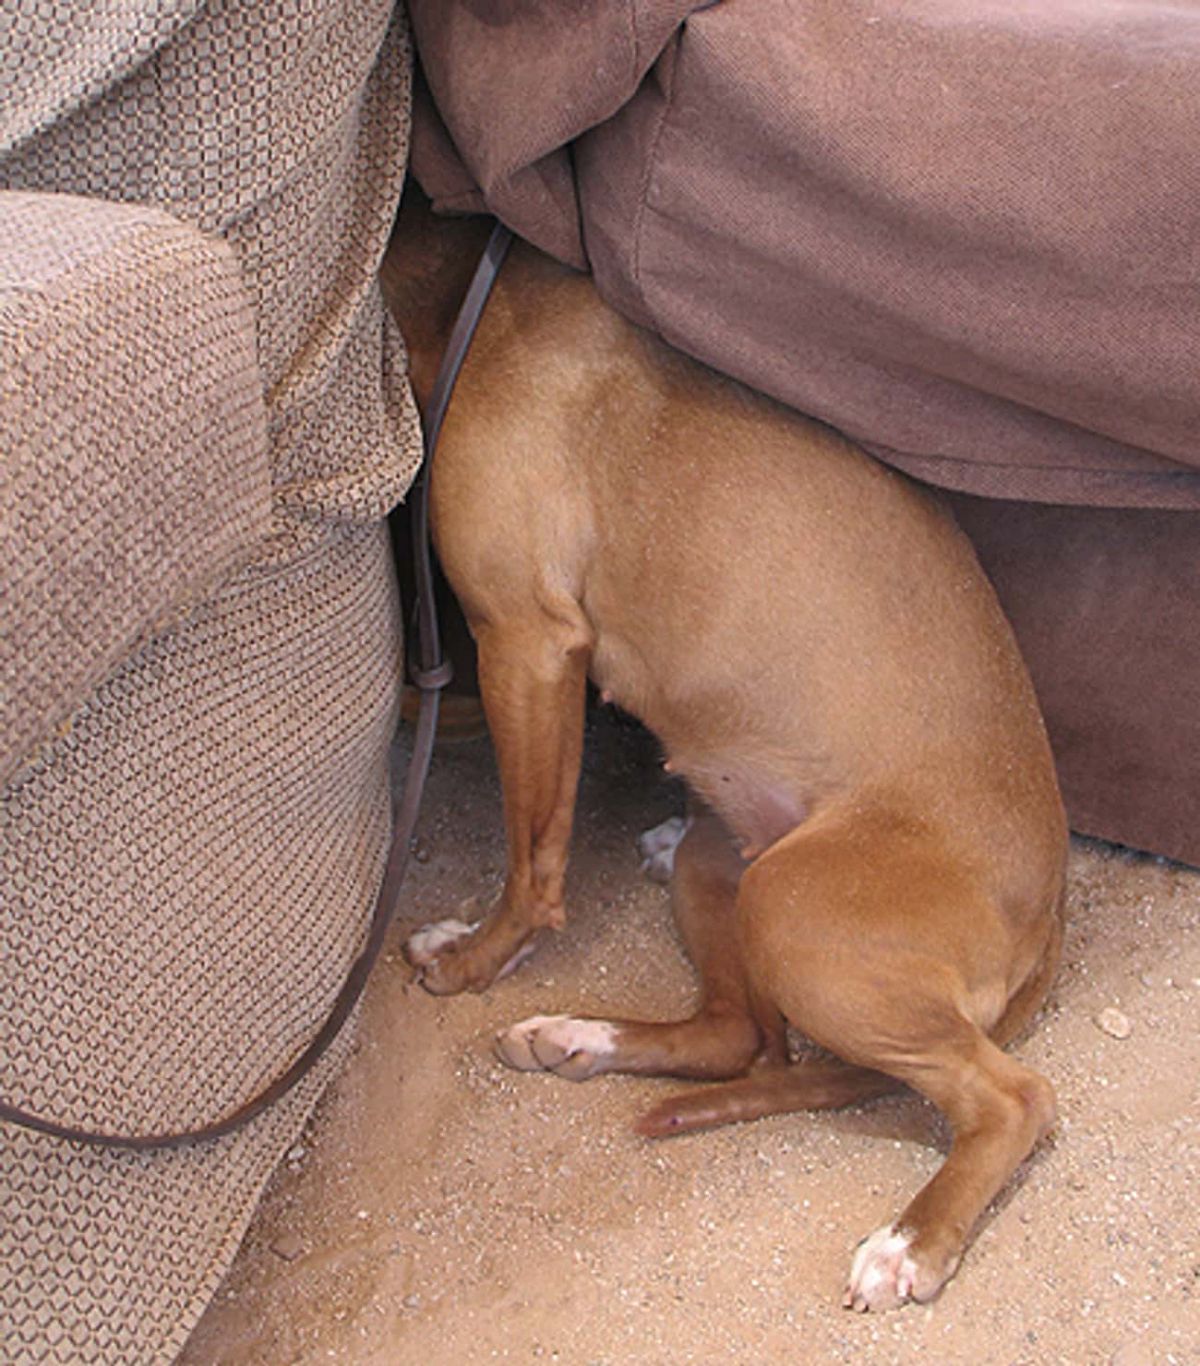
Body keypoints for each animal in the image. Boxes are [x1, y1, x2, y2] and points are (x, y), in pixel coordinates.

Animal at [379, 192, 1066, 1311]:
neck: (462, 294)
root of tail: (1050, 912)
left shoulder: (527, 642)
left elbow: (532, 864)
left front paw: (479, 959)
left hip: (796, 911)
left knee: (1010, 1100)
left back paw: (913, 1240)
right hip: (729, 870)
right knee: (737, 1036)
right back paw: (582, 1036)